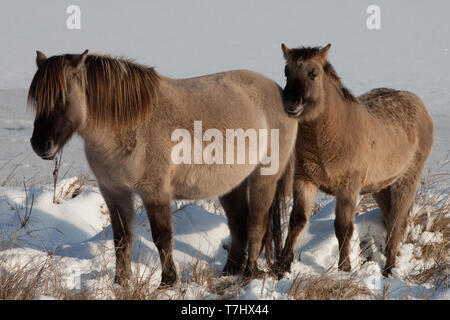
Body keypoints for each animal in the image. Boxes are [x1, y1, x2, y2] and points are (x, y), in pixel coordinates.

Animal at [26, 50, 298, 288]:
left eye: (61, 97)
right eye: (37, 99)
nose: (40, 145)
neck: (130, 126)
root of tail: (279, 93)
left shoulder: (154, 192)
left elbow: (162, 237)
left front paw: (167, 282)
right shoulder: (114, 193)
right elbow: (121, 240)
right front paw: (120, 283)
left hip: (263, 179)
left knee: (256, 225)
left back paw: (249, 274)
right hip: (232, 185)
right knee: (239, 226)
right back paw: (228, 273)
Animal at [280, 43, 434, 276]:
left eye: (313, 73)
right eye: (287, 72)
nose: (290, 102)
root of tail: (420, 105)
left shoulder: (347, 188)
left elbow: (343, 227)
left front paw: (344, 268)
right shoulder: (304, 180)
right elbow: (296, 220)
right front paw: (282, 267)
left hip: (407, 180)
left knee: (397, 223)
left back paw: (389, 269)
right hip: (382, 187)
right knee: (390, 219)